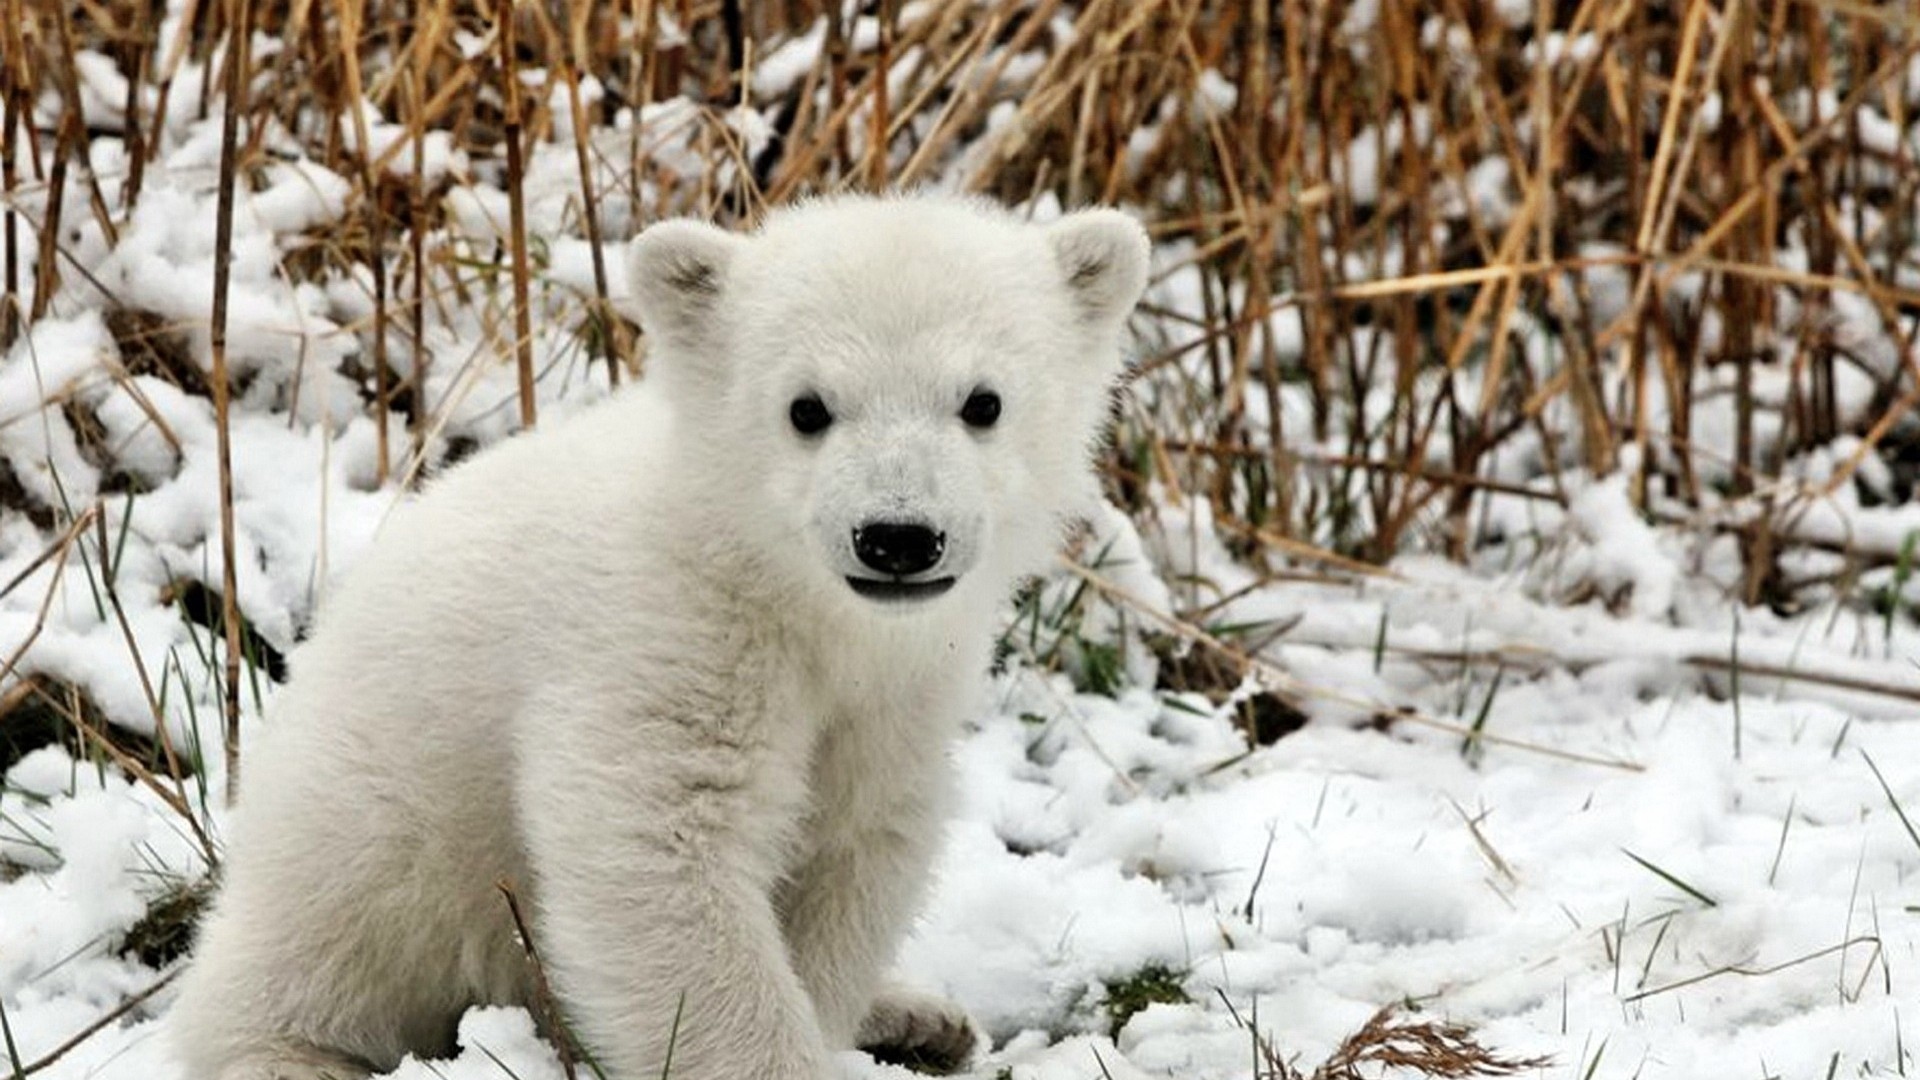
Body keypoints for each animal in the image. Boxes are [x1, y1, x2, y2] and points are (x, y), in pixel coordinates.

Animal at [168, 193, 1150, 1080]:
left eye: (983, 402)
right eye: (806, 407)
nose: (898, 537)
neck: (780, 586)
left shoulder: (896, 692)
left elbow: (854, 844)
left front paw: (852, 1011)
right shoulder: (664, 639)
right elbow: (658, 851)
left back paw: (919, 1015)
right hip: (375, 827)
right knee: (310, 959)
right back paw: (296, 1056)